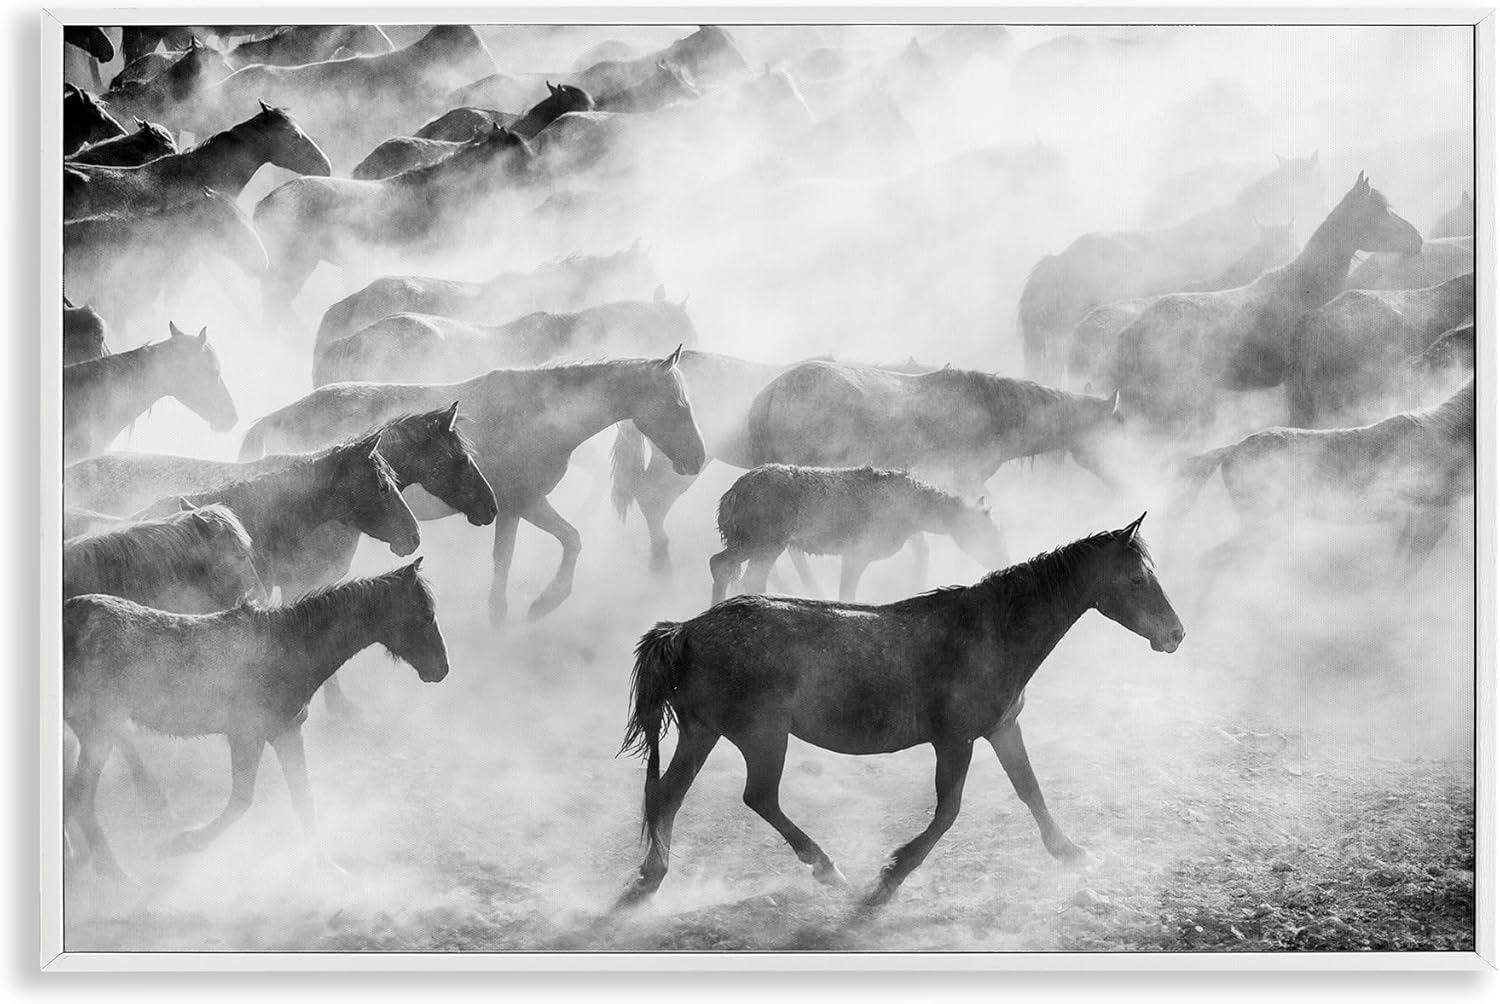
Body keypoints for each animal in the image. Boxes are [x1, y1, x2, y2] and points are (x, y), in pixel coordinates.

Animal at [63, 561, 447, 880]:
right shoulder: (247, 735)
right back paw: (113, 872)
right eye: (424, 614)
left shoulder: (287, 732)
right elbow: (242, 800)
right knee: (80, 796)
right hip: (99, 732)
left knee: (76, 797)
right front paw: (183, 843)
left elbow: (304, 800)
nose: (442, 669)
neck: (288, 646)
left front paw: (326, 867)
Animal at [237, 352, 705, 621]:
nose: (698, 459)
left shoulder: (522, 504)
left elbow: (569, 540)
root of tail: (276, 418)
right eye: (676, 403)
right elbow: (511, 559)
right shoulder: (521, 504)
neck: (541, 412)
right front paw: (526, 608)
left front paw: (541, 603)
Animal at [616, 514, 1183, 909]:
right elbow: (948, 812)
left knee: (669, 796)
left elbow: (1030, 790)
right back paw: (828, 870)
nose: (1176, 634)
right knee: (758, 797)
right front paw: (888, 879)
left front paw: (1071, 853)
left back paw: (651, 878)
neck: (992, 631)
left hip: (703, 732)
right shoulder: (955, 740)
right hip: (762, 737)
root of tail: (685, 630)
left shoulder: (1003, 728)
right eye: (1136, 580)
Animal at [710, 465, 1008, 603]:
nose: (1002, 558)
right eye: (987, 531)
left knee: (722, 564)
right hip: (767, 540)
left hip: (750, 540)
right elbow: (847, 595)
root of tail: (729, 498)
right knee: (747, 574)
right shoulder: (858, 551)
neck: (917, 514)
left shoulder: (854, 554)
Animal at [1172, 378, 1473, 603]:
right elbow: (1405, 573)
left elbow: (1397, 570)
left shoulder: (1418, 517)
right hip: (1265, 526)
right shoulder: (1436, 515)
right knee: (1213, 559)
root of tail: (1233, 448)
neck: (1449, 431)